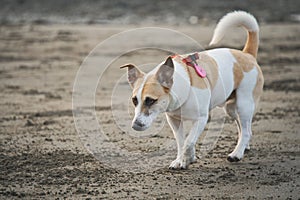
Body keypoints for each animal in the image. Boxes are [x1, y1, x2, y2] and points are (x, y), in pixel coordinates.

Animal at [120, 10, 264, 169]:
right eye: (134, 100)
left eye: (151, 100)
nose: (135, 125)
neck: (183, 88)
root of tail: (247, 54)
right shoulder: (174, 120)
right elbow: (181, 142)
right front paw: (182, 159)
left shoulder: (201, 119)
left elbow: (188, 142)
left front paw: (186, 160)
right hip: (231, 108)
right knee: (245, 129)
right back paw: (244, 147)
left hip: (244, 104)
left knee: (246, 130)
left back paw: (237, 154)